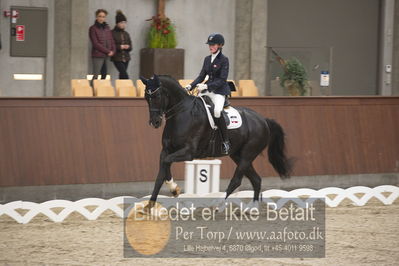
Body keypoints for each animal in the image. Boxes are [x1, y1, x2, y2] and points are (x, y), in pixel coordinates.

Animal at [142, 74, 292, 208]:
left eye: (157, 96)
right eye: (146, 97)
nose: (155, 122)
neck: (182, 113)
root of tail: (263, 120)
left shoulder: (188, 152)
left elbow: (166, 163)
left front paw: (173, 189)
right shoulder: (165, 150)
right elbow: (161, 173)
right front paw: (156, 201)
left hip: (248, 154)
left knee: (237, 180)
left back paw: (217, 204)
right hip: (238, 155)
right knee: (256, 180)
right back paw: (252, 209)